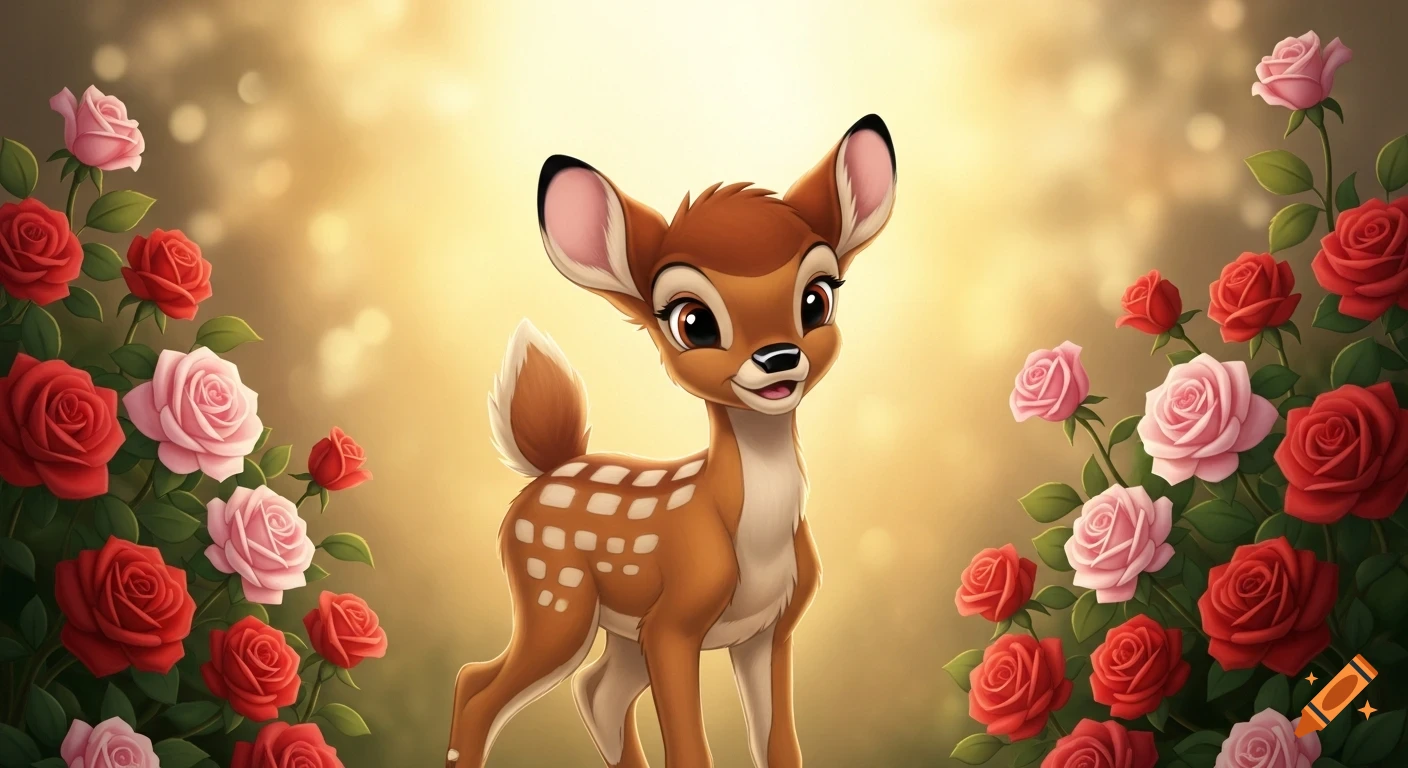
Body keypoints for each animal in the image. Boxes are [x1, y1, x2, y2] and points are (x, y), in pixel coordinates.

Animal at [445, 114, 897, 768]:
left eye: (817, 298)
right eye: (693, 321)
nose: (779, 357)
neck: (755, 539)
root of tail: (546, 471)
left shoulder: (772, 630)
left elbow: (779, 743)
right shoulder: (673, 624)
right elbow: (689, 747)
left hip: (616, 626)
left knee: (596, 691)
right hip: (555, 595)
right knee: (477, 683)